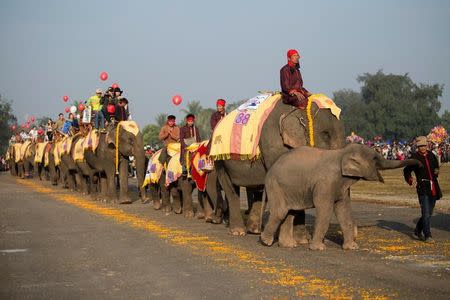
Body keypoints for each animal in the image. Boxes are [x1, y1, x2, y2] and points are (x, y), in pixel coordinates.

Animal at [214, 98, 344, 244]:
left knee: (257, 189)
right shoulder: (274, 144)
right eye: (326, 134)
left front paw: (303, 240)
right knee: (230, 188)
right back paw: (238, 232)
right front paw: (298, 240)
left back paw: (255, 231)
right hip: (220, 160)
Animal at [258, 144, 420, 250]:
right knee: (280, 212)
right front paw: (319, 248)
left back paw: (289, 245)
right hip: (276, 186)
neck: (342, 153)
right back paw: (266, 242)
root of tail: (269, 172)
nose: (419, 165)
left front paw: (352, 247)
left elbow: (343, 209)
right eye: (375, 158)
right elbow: (325, 209)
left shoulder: (342, 185)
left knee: (290, 213)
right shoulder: (325, 183)